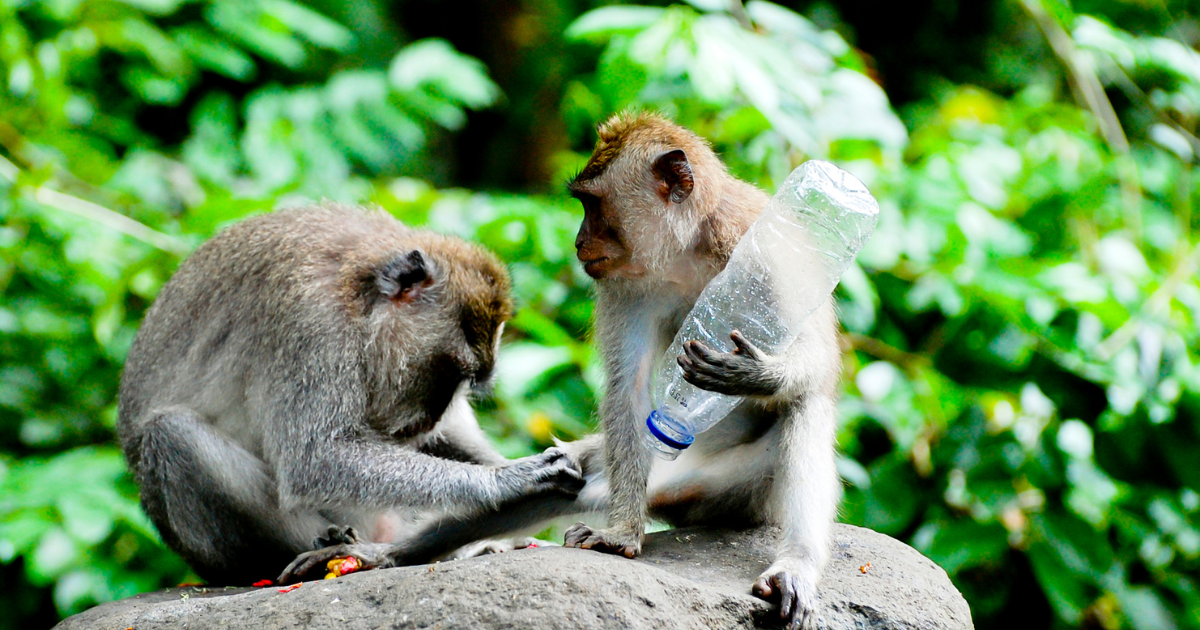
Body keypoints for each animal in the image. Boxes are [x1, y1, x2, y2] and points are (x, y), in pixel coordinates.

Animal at [120, 205, 585, 585]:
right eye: (451, 370)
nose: (428, 421)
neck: (358, 290)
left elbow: (443, 438)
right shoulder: (311, 326)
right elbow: (315, 459)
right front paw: (508, 480)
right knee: (171, 434)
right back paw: (338, 548)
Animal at [556, 114, 840, 628]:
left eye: (593, 204)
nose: (579, 242)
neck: (688, 248)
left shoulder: (769, 254)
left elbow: (819, 358)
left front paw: (755, 374)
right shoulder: (623, 285)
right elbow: (627, 387)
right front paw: (623, 530)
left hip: (742, 494)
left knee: (806, 404)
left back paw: (795, 565)